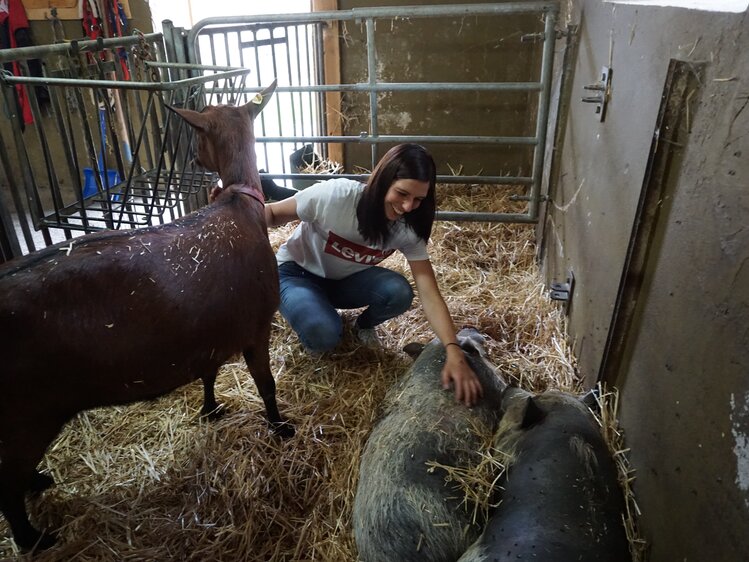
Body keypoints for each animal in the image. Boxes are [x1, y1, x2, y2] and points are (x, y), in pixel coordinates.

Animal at [0, 81, 292, 548]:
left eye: (198, 136)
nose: (193, 160)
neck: (238, 204)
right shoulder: (256, 324)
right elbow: (266, 385)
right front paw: (281, 427)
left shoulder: (210, 330)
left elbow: (208, 372)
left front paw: (210, 410)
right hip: (25, 412)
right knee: (5, 485)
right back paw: (34, 538)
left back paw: (38, 484)